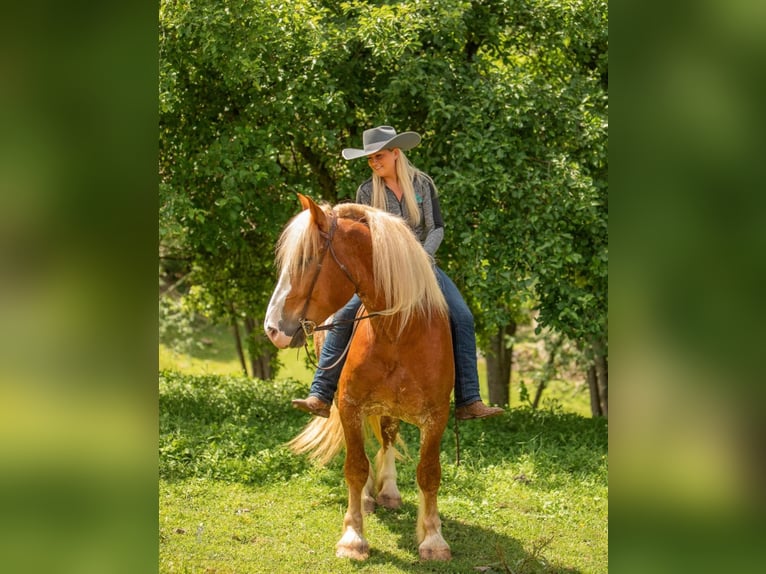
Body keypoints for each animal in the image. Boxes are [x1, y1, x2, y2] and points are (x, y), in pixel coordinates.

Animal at [266, 195, 456, 564]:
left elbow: (429, 473)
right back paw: (370, 496)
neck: (398, 331)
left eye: (307, 259)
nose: (272, 328)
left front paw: (433, 539)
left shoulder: (436, 415)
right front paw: (353, 538)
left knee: (388, 436)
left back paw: (390, 491)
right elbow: (355, 467)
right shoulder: (350, 405)